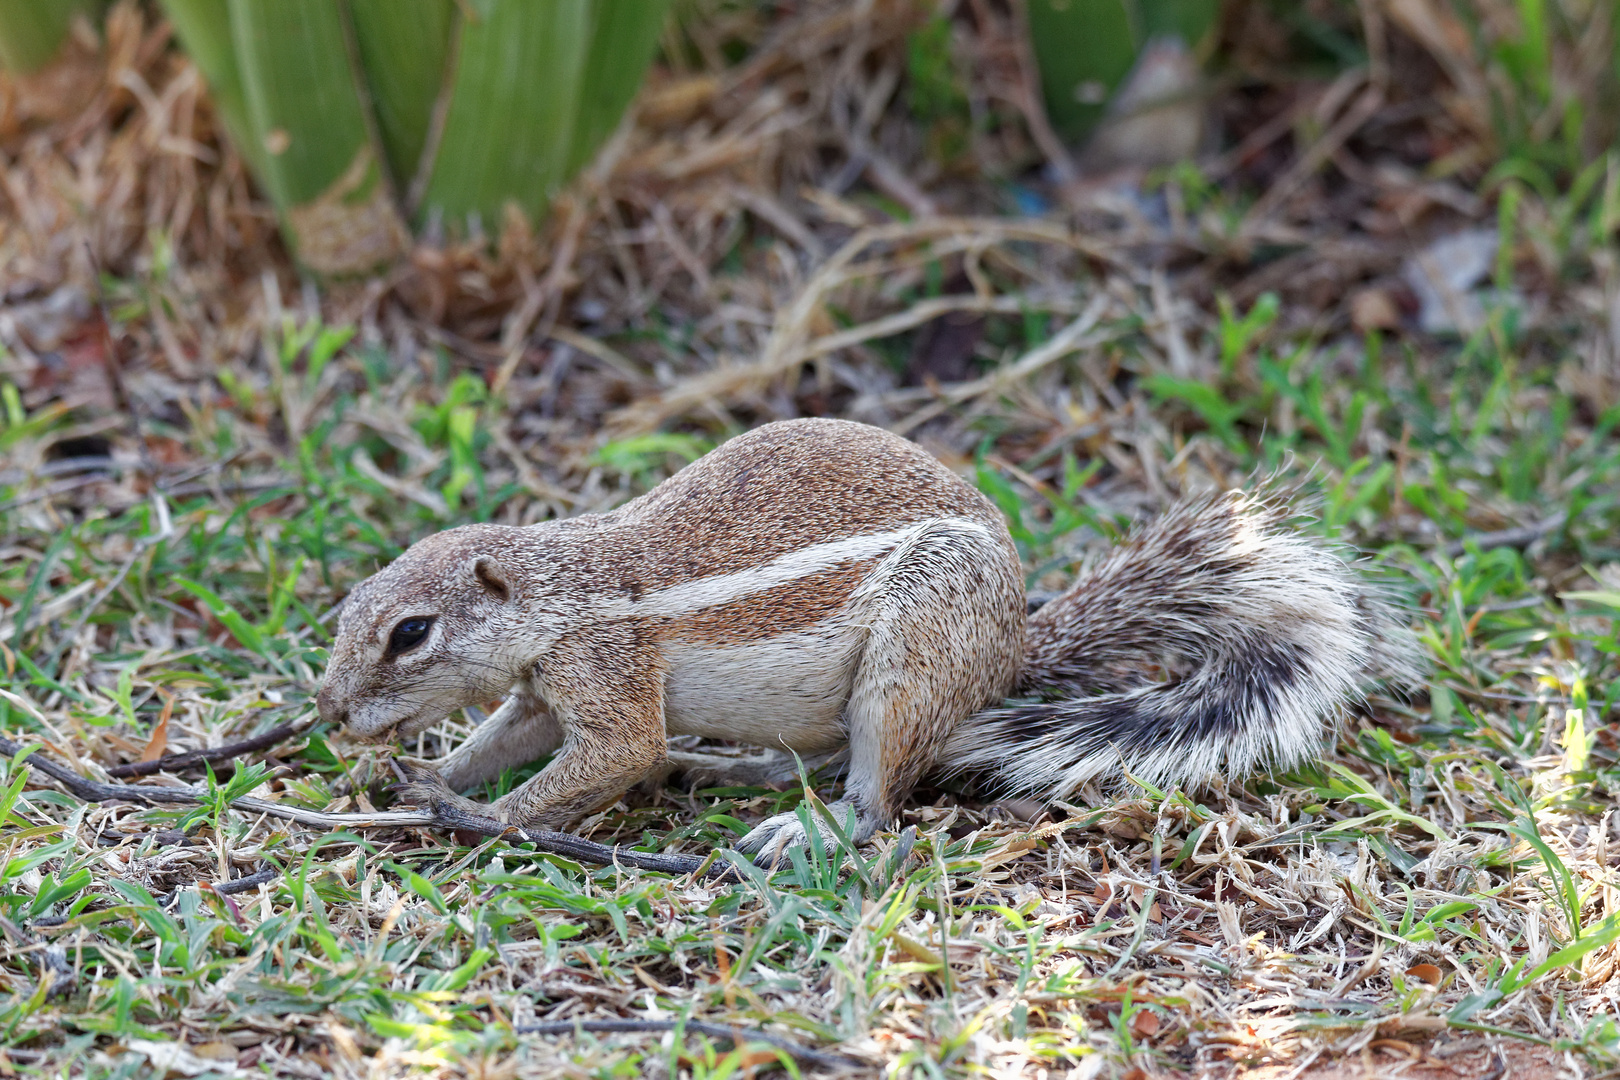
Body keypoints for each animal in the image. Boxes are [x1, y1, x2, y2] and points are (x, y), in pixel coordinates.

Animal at [315, 414, 1419, 861]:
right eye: (352, 607)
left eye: (411, 633)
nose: (327, 713)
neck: (560, 591)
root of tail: (1009, 654)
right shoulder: (544, 693)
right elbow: (503, 741)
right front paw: (423, 777)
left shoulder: (605, 679)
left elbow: (605, 757)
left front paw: (471, 815)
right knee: (804, 761)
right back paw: (716, 770)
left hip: (909, 662)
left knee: (876, 803)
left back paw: (798, 827)